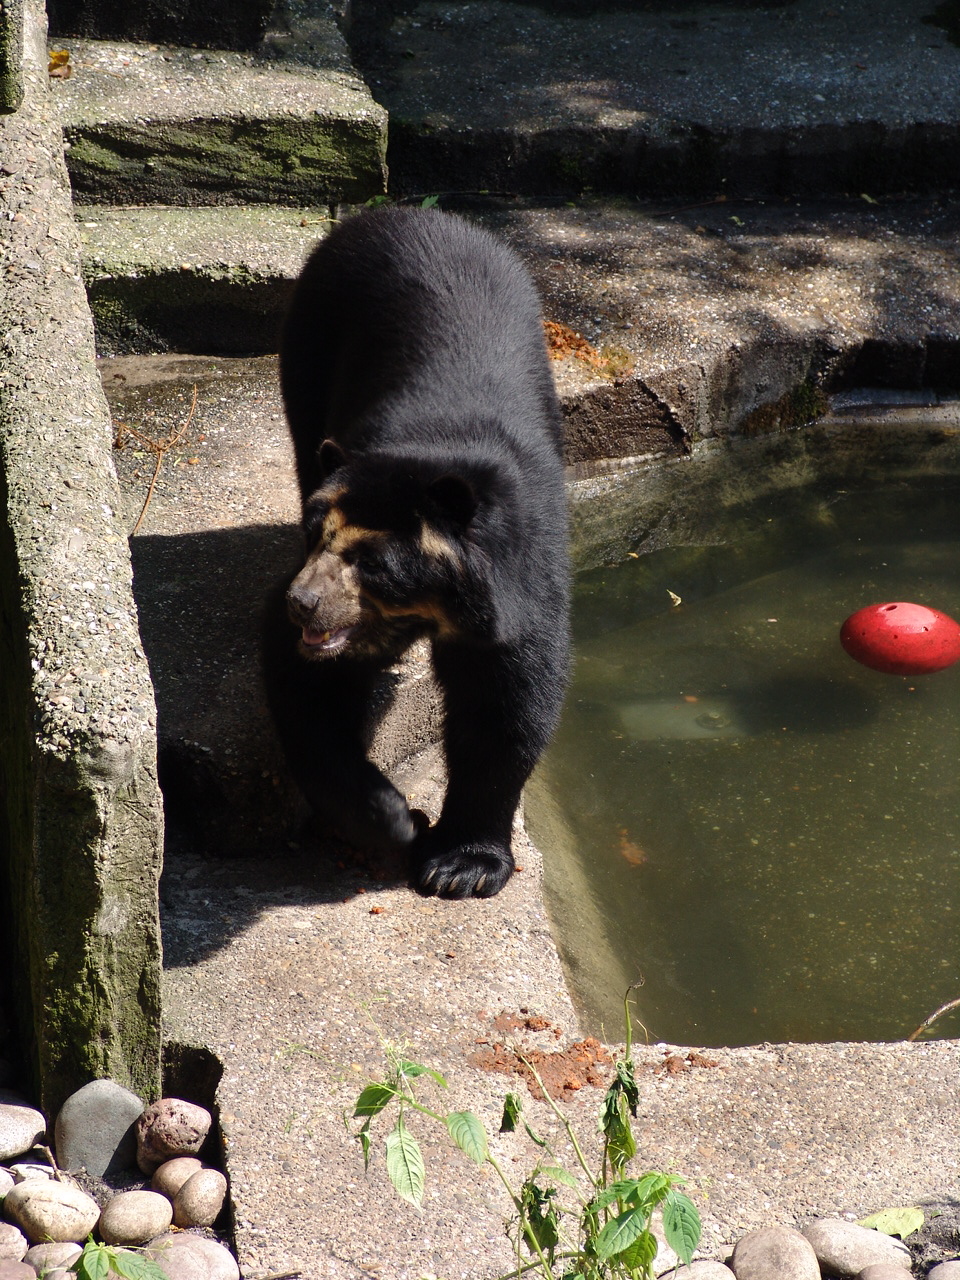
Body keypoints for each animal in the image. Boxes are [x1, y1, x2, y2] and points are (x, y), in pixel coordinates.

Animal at [263, 206, 570, 898]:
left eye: (371, 562)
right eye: (318, 538)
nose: (303, 603)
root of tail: (395, 213)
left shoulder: (522, 580)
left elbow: (505, 705)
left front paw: (461, 865)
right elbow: (307, 691)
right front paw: (395, 819)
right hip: (310, 340)